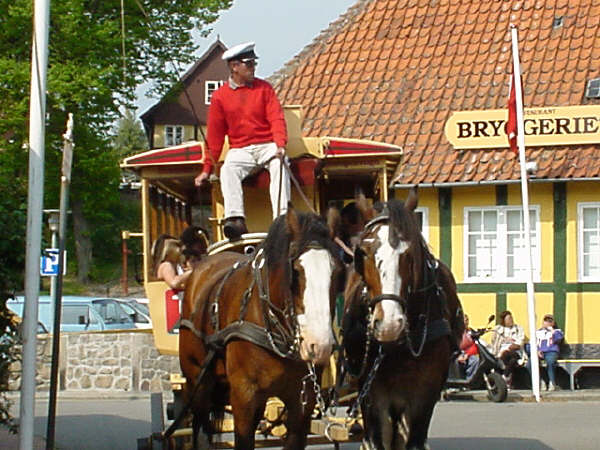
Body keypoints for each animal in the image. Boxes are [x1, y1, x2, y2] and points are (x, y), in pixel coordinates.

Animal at [178, 208, 342, 450]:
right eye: (296, 271)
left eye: (337, 272)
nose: (319, 345)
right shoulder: (245, 397)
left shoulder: (302, 402)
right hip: (198, 382)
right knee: (200, 428)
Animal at [342, 190, 464, 450]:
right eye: (362, 253)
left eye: (411, 253)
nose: (389, 325)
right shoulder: (371, 392)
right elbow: (376, 438)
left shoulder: (425, 392)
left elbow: (414, 440)